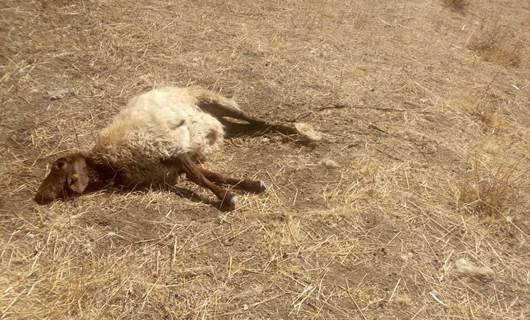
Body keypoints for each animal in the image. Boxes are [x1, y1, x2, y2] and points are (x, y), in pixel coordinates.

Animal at [35, 85, 304, 210]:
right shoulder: (170, 166)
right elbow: (212, 174)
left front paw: (228, 198)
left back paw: (299, 134)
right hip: (220, 120)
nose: (39, 196)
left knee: (257, 120)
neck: (110, 163)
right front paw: (250, 185)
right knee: (251, 127)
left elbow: (199, 178)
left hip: (214, 100)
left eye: (59, 166)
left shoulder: (168, 148)